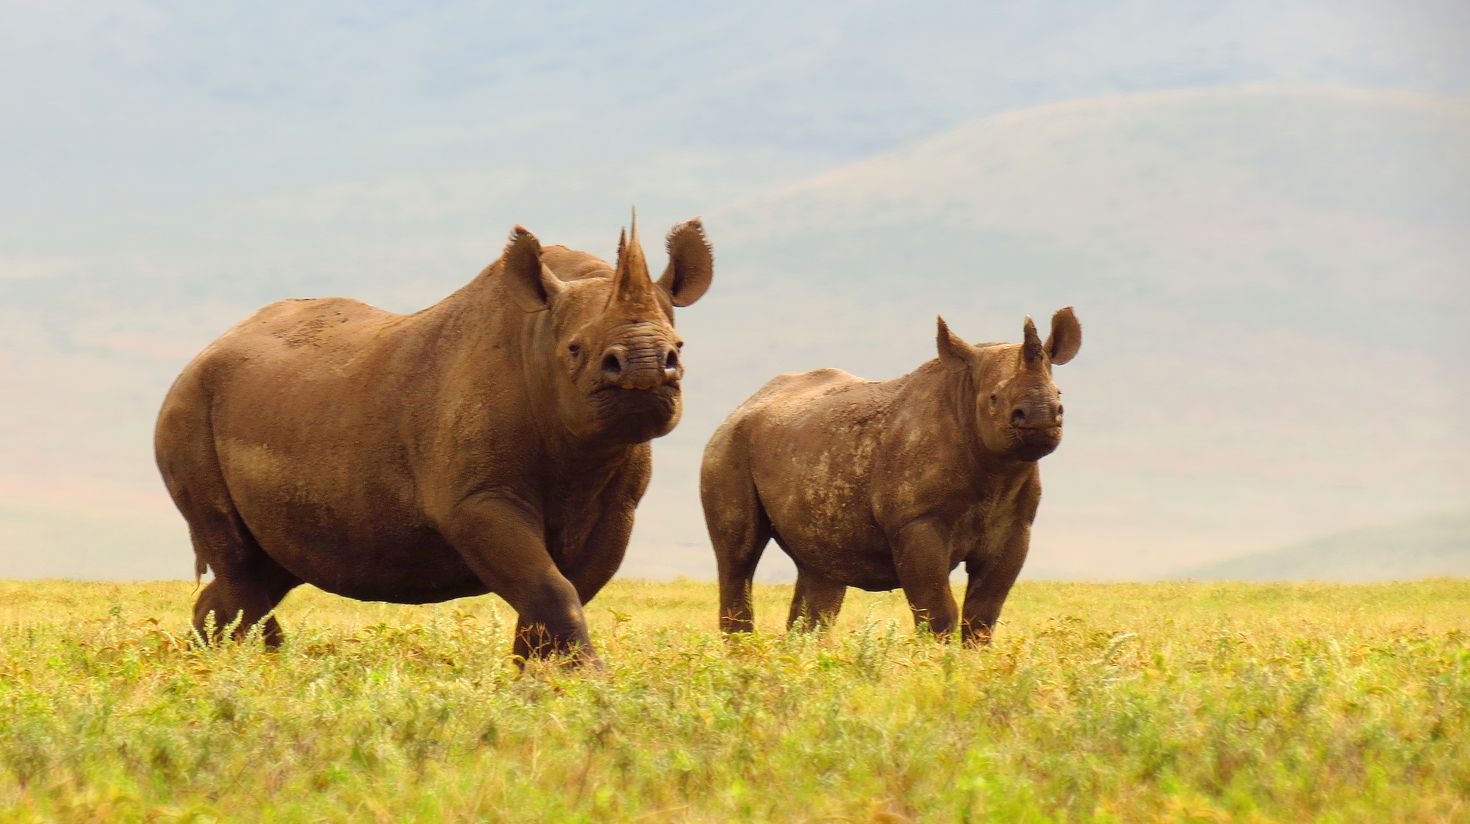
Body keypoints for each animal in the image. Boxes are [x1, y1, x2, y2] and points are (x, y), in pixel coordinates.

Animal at [155, 218, 713, 665]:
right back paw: (264, 668)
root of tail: (204, 351)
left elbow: (559, 589)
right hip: (187, 409)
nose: (645, 367)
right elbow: (550, 586)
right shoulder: (476, 500)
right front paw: (580, 679)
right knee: (239, 563)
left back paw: (209, 665)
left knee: (268, 567)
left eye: (680, 347)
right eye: (575, 350)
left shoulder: (617, 508)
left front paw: (536, 676)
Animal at [701, 309, 1080, 643]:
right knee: (738, 558)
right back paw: (745, 653)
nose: (1041, 417)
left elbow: (983, 614)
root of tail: (744, 404)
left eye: (1060, 395)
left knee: (819, 572)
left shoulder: (1017, 527)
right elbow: (936, 608)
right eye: (994, 398)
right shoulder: (916, 520)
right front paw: (937, 663)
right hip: (727, 447)